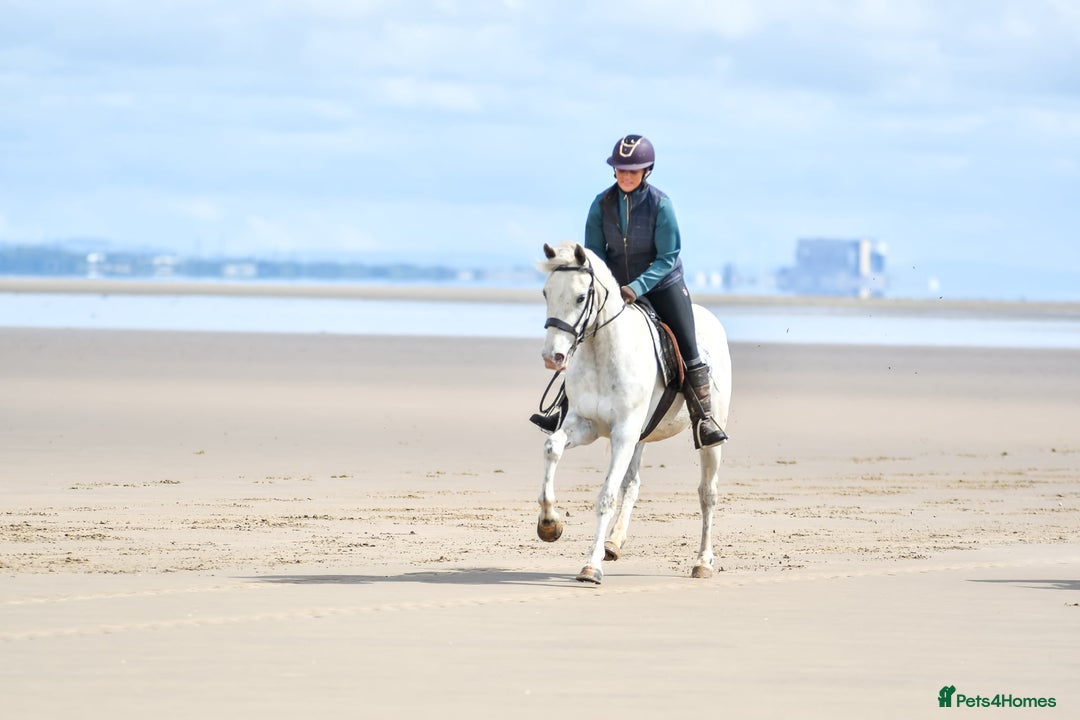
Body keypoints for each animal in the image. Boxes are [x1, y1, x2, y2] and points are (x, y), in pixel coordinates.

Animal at [535, 241, 732, 584]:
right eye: (546, 292)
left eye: (581, 297)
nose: (553, 356)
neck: (603, 352)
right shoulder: (585, 425)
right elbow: (552, 447)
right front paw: (549, 524)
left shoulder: (623, 433)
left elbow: (606, 496)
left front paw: (591, 566)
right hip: (639, 437)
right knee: (633, 484)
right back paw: (613, 543)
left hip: (707, 441)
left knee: (707, 493)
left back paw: (703, 562)